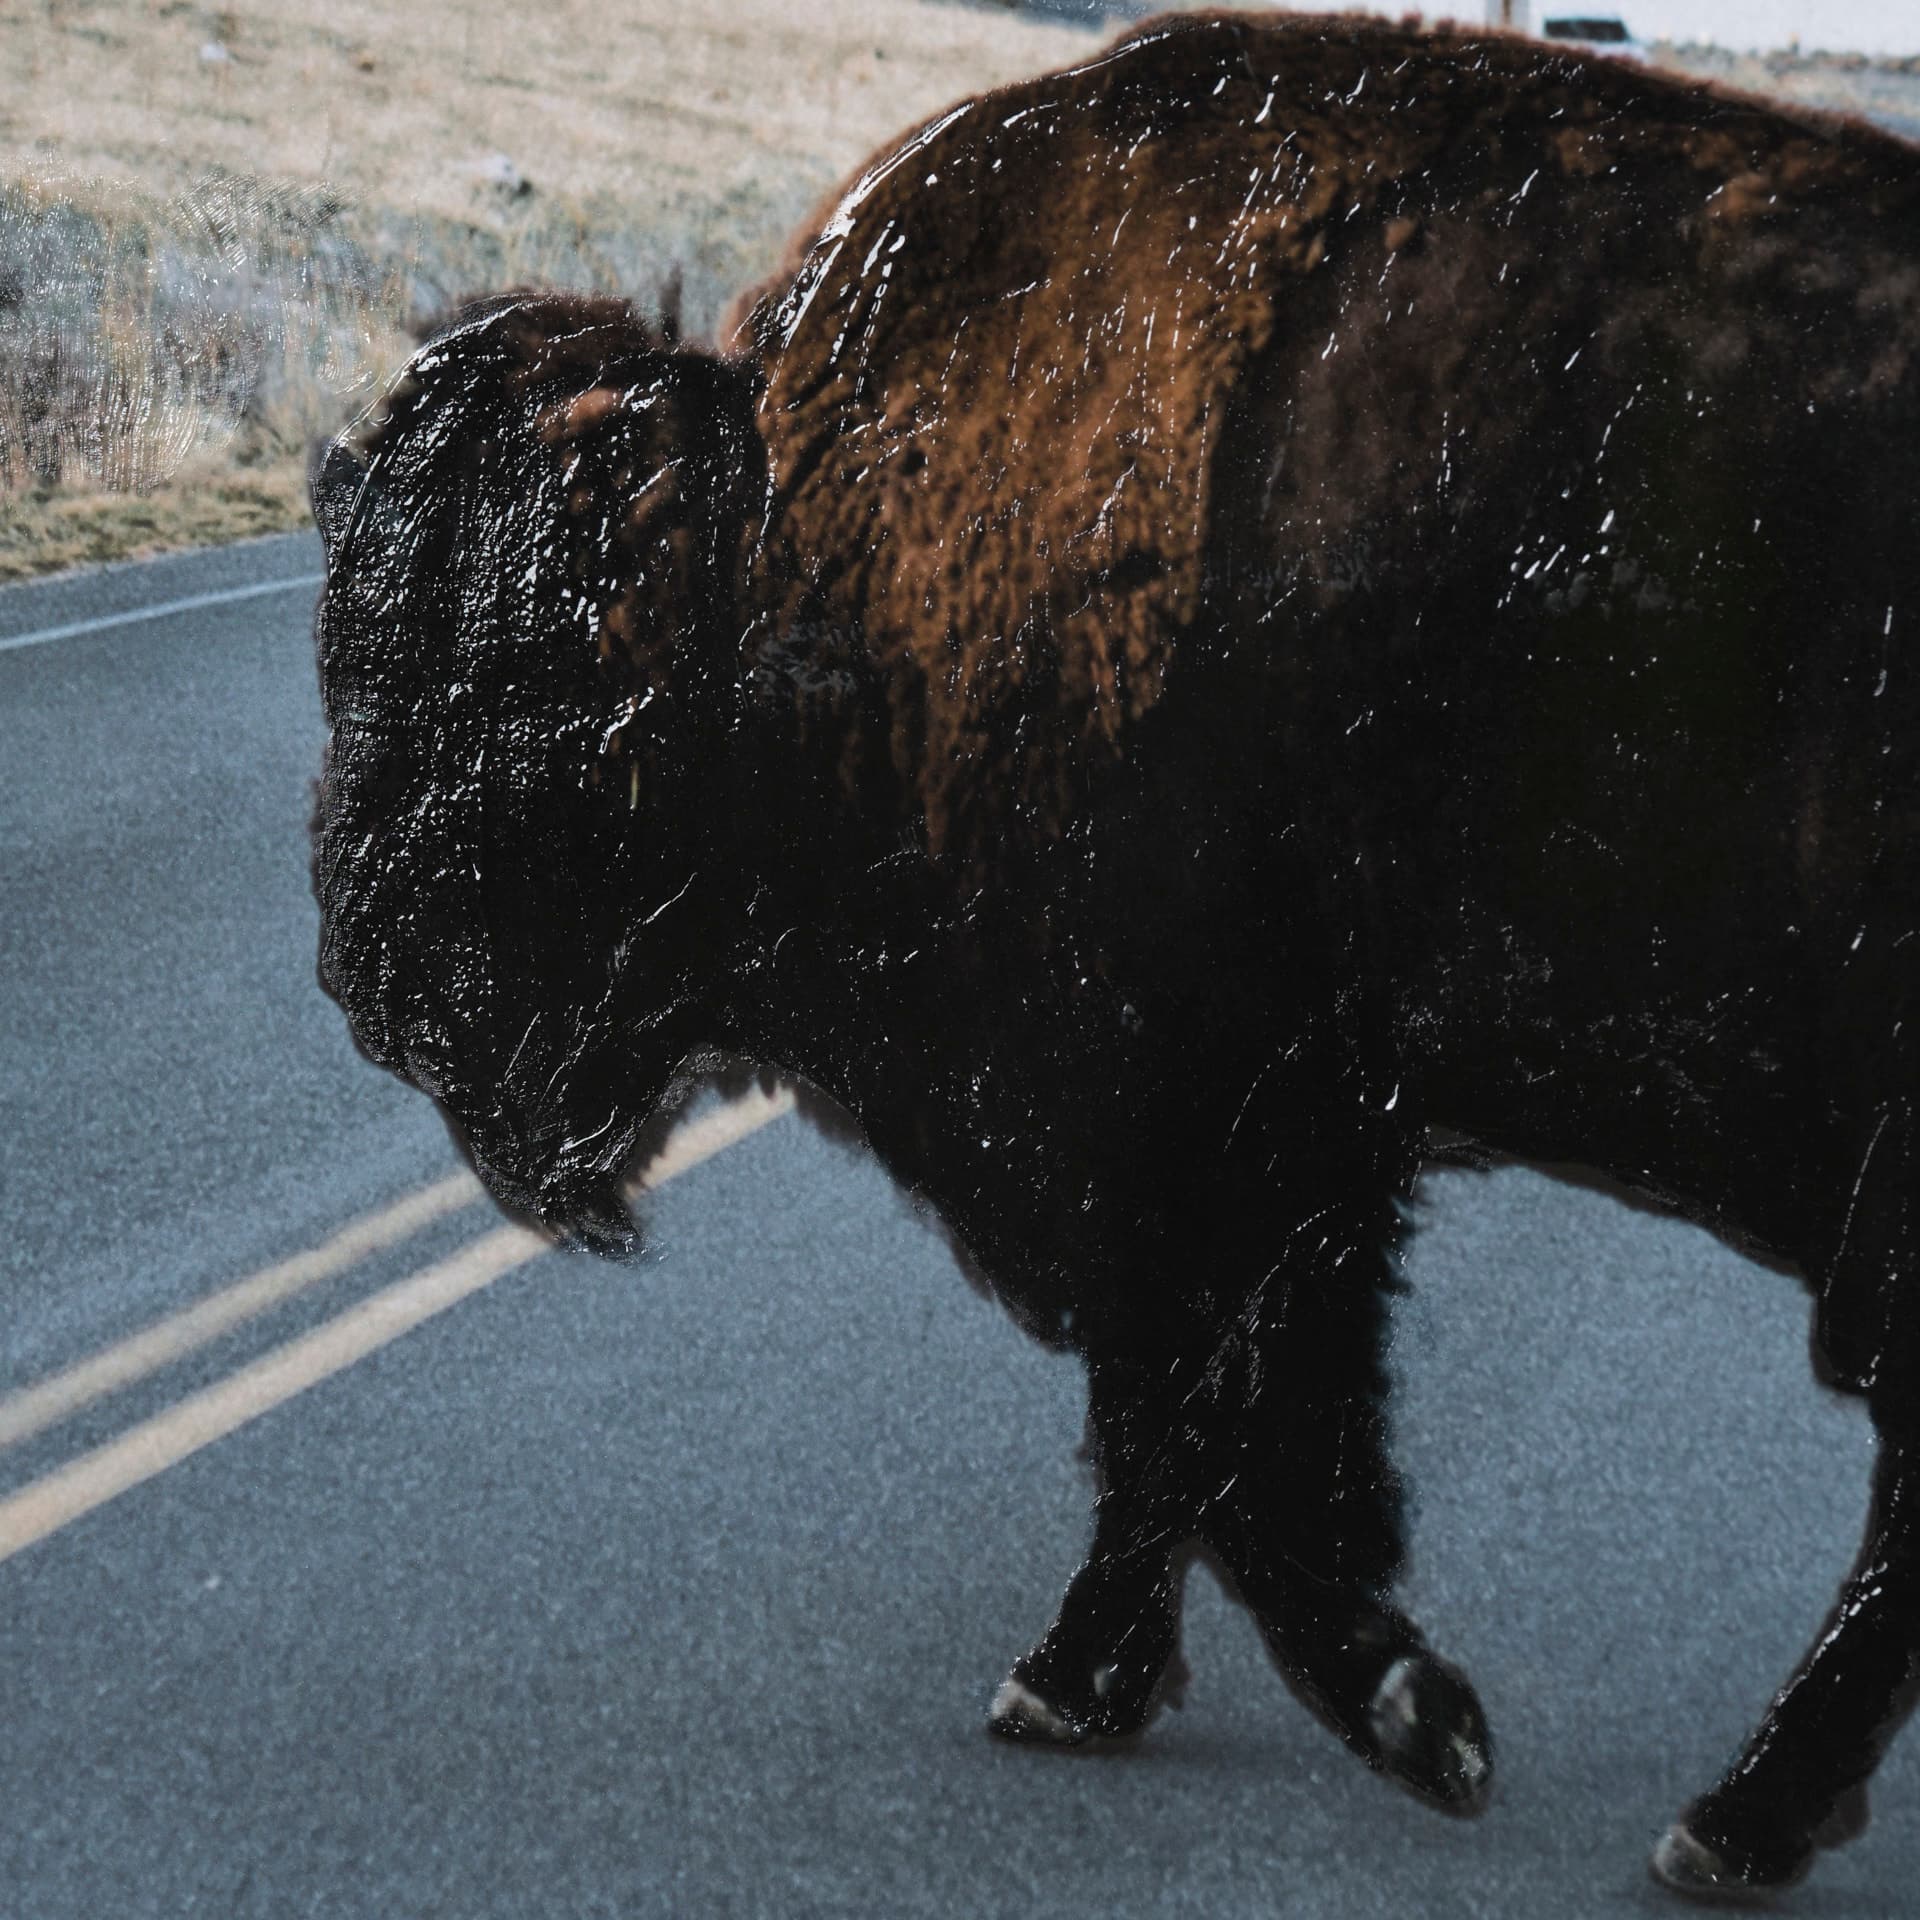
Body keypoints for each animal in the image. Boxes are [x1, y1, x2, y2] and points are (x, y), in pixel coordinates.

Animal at [310, 10, 1920, 1899]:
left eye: (515, 663)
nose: (370, 974)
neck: (789, 544)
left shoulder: (1189, 1129)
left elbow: (1202, 1428)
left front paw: (1391, 1714)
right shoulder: (1274, 1154)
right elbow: (1200, 1438)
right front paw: (1121, 1686)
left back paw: (1727, 1824)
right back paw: (1740, 1816)